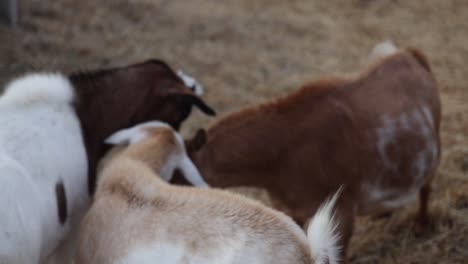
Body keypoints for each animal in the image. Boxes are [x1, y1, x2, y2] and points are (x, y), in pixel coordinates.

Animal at [185, 41, 440, 262]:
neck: (283, 154)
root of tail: (409, 54)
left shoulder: (342, 210)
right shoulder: (288, 209)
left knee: (426, 186)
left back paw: (421, 225)